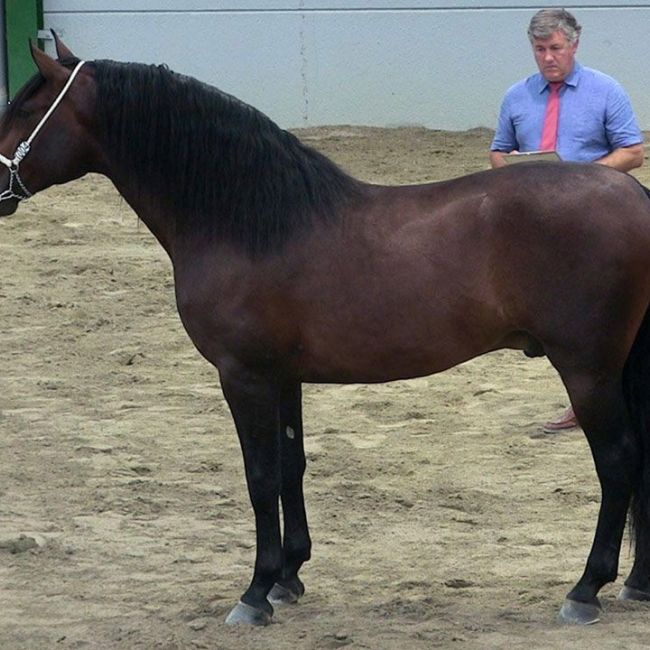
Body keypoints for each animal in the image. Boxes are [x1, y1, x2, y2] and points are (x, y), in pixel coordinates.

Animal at [2, 36, 650, 627]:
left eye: (25, 110)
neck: (247, 222)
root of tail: (634, 195)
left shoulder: (243, 377)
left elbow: (260, 476)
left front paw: (255, 593)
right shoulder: (282, 377)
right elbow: (291, 467)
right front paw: (289, 576)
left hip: (587, 368)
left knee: (618, 460)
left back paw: (585, 590)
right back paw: (636, 585)